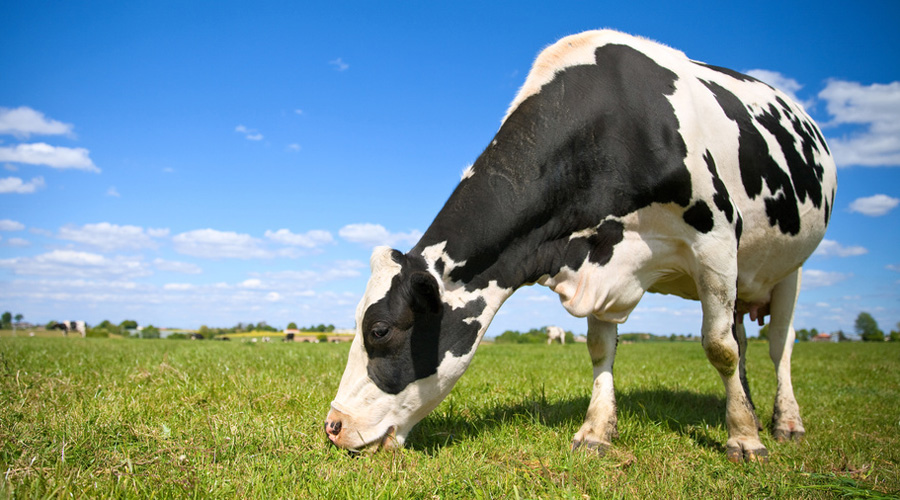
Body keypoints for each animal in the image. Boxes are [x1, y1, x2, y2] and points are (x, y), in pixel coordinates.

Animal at [324, 29, 836, 462]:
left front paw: (744, 439)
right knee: (744, 338)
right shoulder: (600, 258)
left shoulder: (714, 238)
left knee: (778, 344)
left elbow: (718, 348)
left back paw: (784, 423)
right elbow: (600, 348)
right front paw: (596, 432)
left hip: (790, 268)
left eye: (380, 331)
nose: (332, 426)